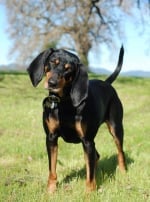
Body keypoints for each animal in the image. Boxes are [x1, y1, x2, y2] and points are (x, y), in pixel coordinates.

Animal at [27, 45, 125, 193]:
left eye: (69, 69)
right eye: (52, 62)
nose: (52, 83)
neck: (64, 104)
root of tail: (106, 83)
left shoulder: (87, 140)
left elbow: (89, 176)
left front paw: (89, 193)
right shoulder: (51, 138)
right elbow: (52, 169)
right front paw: (50, 191)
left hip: (116, 128)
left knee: (120, 152)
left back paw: (124, 173)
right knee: (96, 157)